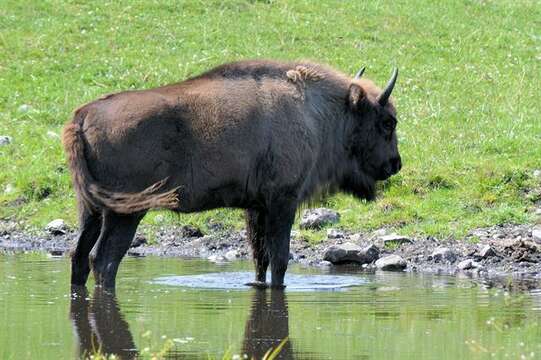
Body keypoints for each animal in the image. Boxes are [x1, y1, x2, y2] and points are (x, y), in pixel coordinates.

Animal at [63, 59, 400, 290]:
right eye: (387, 122)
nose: (395, 163)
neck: (314, 112)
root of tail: (83, 116)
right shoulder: (282, 202)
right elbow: (280, 259)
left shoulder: (257, 208)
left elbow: (260, 257)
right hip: (125, 213)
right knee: (103, 260)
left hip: (91, 210)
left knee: (79, 256)